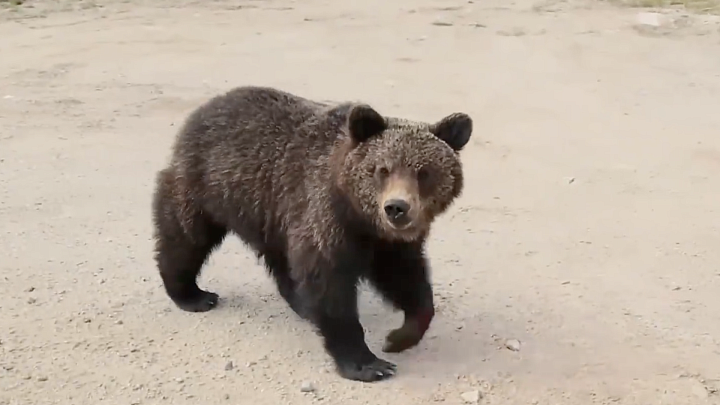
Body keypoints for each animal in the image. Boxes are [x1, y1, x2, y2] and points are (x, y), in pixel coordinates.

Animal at [151, 86, 473, 382]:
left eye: (424, 172)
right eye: (382, 169)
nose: (396, 207)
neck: (362, 220)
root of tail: (204, 109)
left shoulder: (387, 244)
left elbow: (407, 279)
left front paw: (399, 337)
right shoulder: (326, 218)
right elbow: (330, 287)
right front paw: (367, 363)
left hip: (270, 214)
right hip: (208, 185)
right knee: (186, 235)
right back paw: (192, 294)